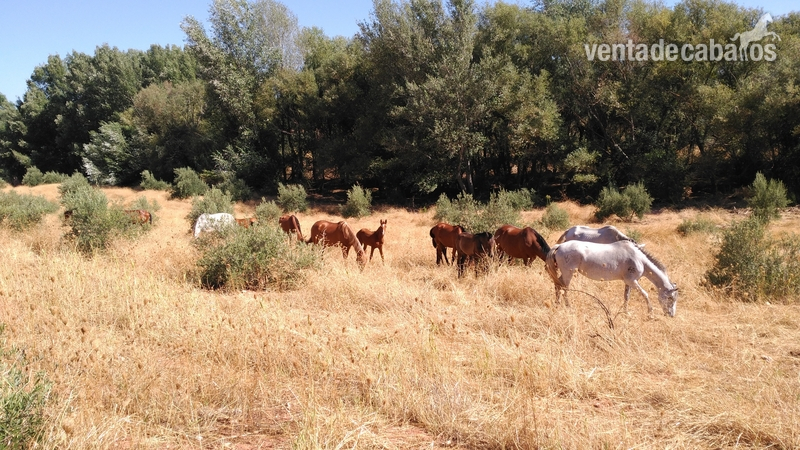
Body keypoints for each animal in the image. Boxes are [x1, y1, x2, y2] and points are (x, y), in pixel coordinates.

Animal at [545, 239, 678, 317]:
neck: (639, 259)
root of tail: (560, 246)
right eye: (670, 298)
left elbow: (626, 297)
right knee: (564, 289)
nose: (671, 315)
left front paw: (626, 313)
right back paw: (568, 307)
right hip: (568, 273)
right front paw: (650, 314)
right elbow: (645, 294)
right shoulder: (632, 281)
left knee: (558, 286)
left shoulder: (628, 282)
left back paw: (557, 305)